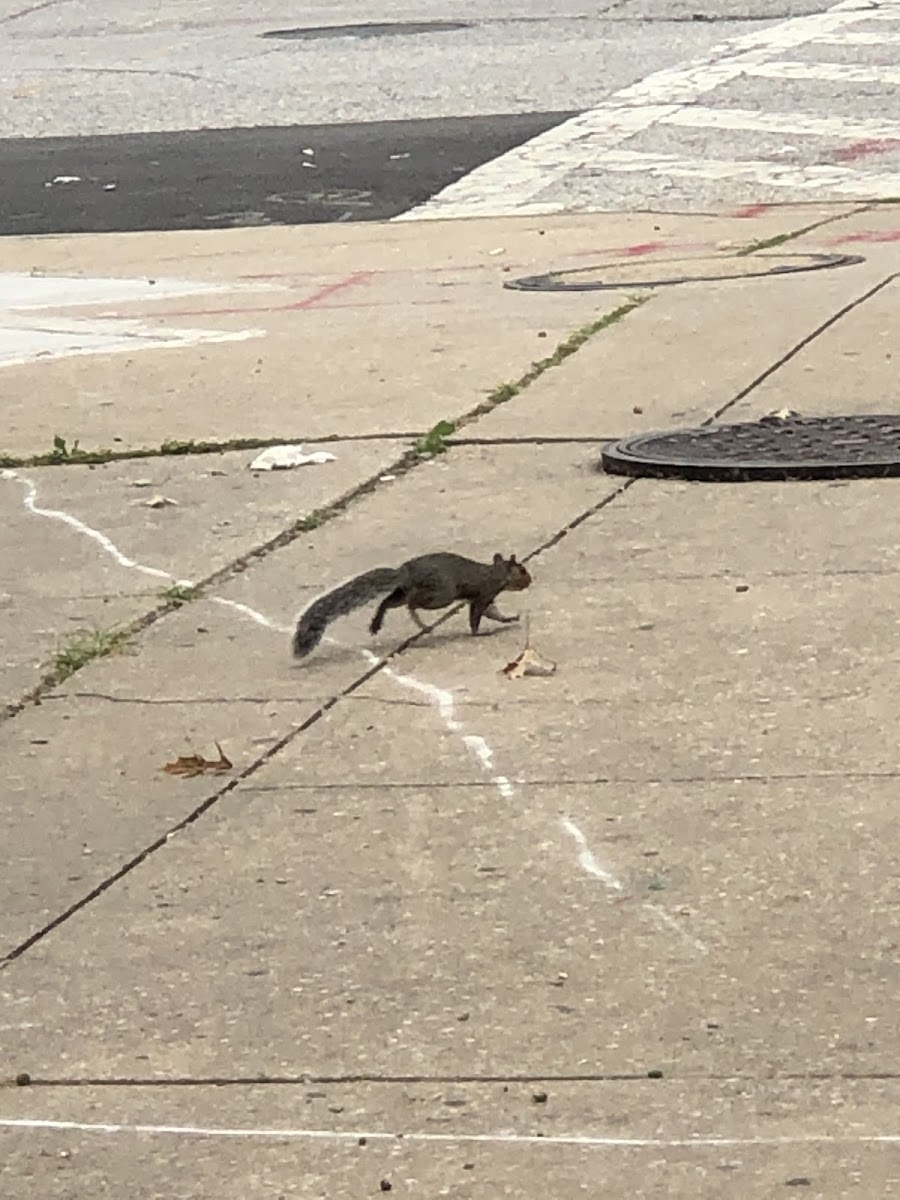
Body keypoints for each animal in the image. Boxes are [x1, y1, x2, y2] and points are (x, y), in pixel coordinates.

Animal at [296, 549, 532, 657]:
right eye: (522, 571)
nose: (530, 580)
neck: (496, 573)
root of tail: (405, 572)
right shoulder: (483, 595)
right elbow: (476, 617)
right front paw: (480, 633)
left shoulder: (484, 598)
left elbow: (494, 613)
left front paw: (510, 618)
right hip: (440, 594)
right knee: (412, 603)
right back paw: (422, 625)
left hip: (405, 591)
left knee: (387, 602)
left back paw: (376, 623)